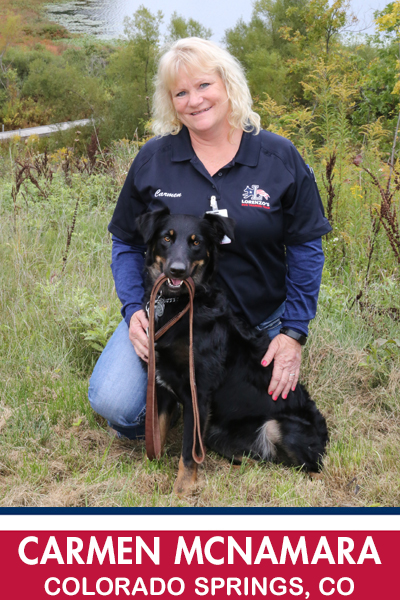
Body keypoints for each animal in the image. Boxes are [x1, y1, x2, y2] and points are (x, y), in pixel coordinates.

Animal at [136, 206, 326, 492]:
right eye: (167, 238)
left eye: (196, 243)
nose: (177, 271)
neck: (180, 306)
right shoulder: (160, 385)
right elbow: (156, 432)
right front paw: (149, 470)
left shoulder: (197, 394)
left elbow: (187, 454)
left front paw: (181, 490)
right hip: (217, 434)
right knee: (259, 461)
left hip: (278, 427)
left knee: (312, 469)